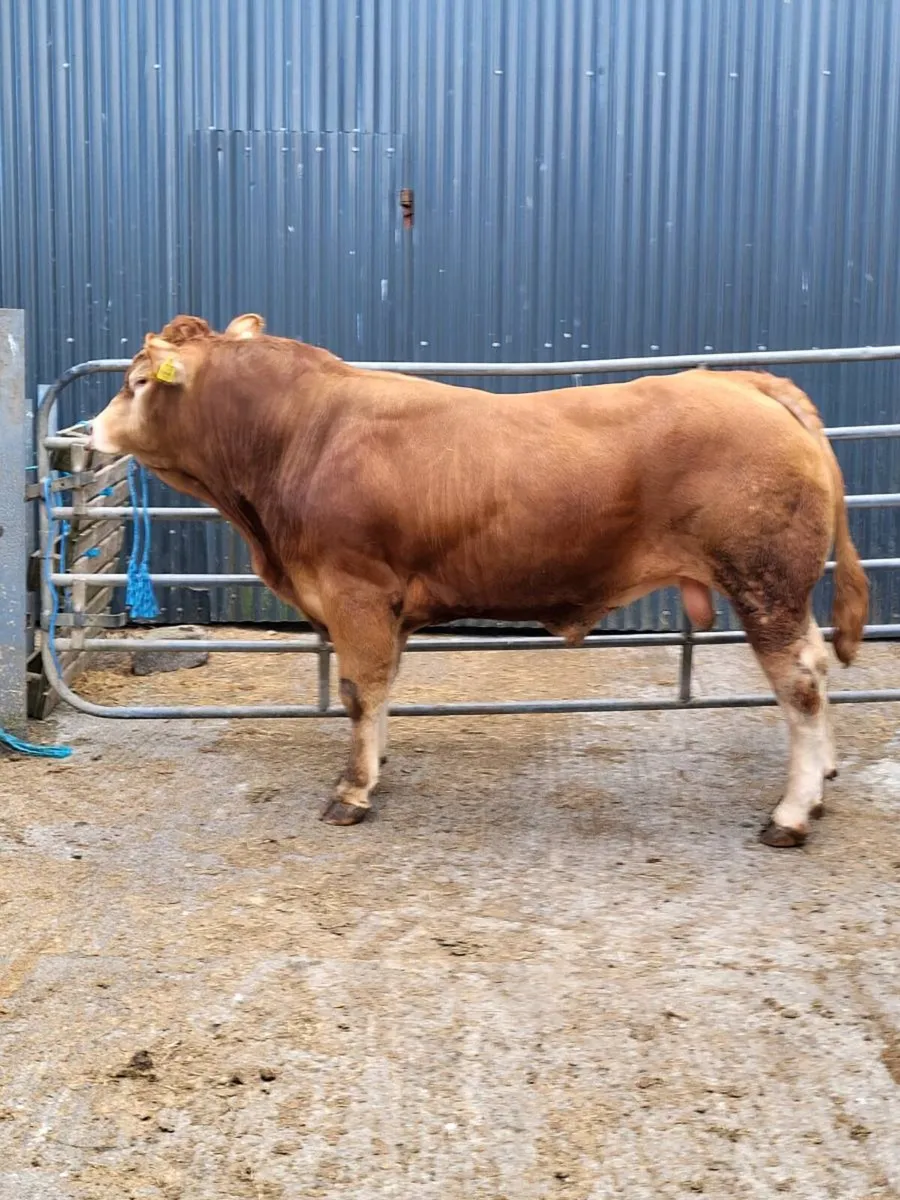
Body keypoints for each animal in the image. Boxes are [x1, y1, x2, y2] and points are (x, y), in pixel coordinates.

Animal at [89, 314, 869, 848]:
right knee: (817, 665)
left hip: (764, 582)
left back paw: (791, 814)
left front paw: (353, 791)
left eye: (137, 381)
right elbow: (382, 690)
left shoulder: (353, 591)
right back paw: (823, 781)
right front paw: (378, 761)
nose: (88, 433)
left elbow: (358, 690)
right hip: (782, 589)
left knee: (799, 684)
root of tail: (742, 380)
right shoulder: (385, 602)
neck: (293, 440)